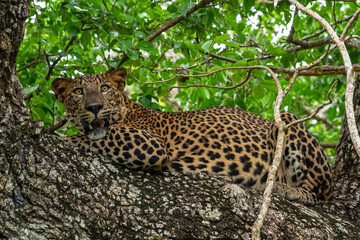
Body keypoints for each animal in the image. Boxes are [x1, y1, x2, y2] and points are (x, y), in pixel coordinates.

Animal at [52, 67, 334, 204]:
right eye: (78, 92)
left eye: (105, 88)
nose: (94, 107)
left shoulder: (151, 146)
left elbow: (94, 137)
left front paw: (62, 138)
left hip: (287, 120)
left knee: (321, 192)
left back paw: (288, 190)